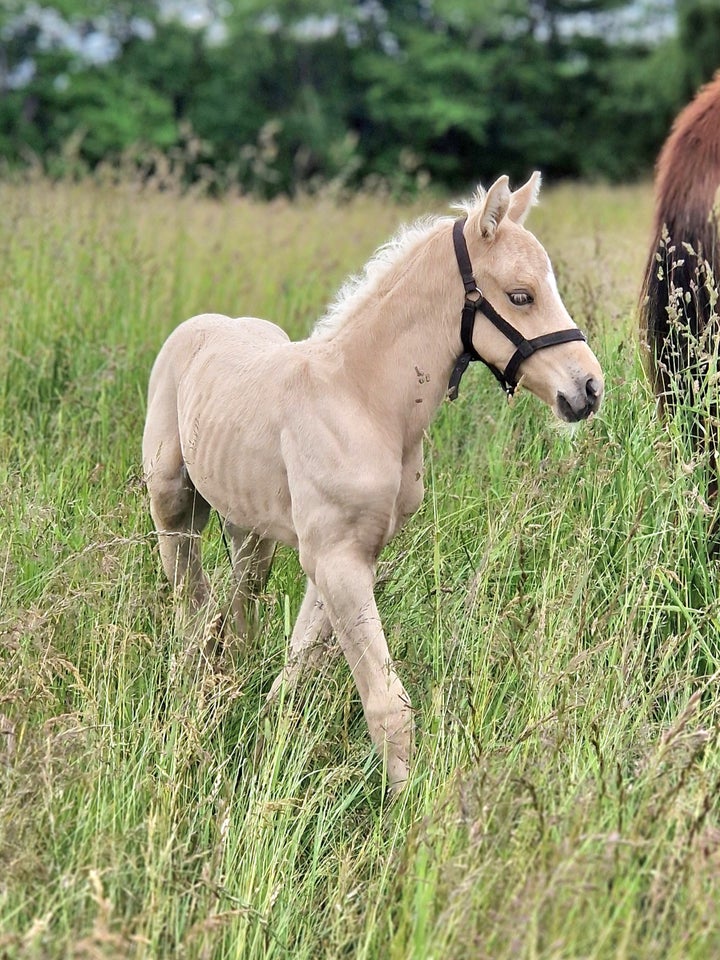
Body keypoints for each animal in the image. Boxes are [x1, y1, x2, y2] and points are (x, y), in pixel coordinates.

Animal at [143, 172, 604, 788]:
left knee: (240, 595)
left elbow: (298, 663)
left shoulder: (350, 554)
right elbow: (389, 704)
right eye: (520, 296)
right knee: (189, 598)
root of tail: (203, 324)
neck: (364, 401)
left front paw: (265, 736)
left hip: (250, 528)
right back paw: (192, 684)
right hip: (172, 502)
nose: (589, 388)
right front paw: (410, 805)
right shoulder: (336, 557)